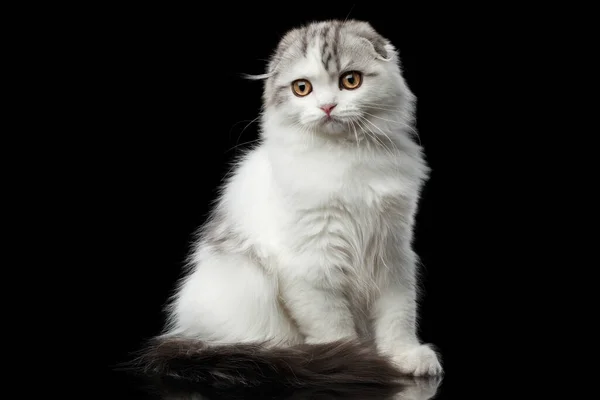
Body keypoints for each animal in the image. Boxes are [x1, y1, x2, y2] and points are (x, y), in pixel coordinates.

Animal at [138, 18, 442, 390]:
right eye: (302, 88)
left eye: (350, 80)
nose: (327, 107)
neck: (345, 157)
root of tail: (183, 332)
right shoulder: (313, 264)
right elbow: (333, 325)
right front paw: (353, 357)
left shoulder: (392, 253)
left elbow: (398, 315)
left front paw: (405, 356)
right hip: (247, 284)